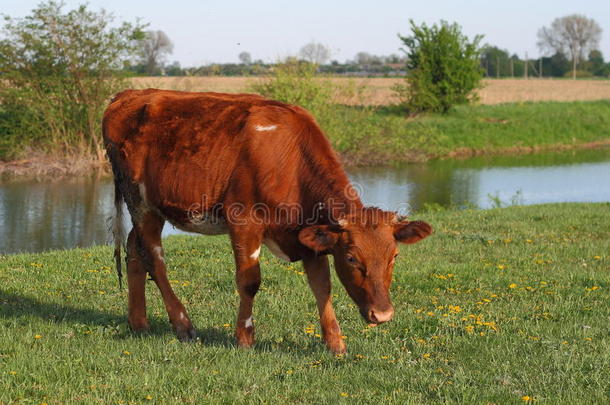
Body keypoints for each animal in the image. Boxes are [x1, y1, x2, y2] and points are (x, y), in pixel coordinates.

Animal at [102, 89, 430, 354]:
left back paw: (138, 322)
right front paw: (245, 338)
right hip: (139, 200)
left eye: (395, 256)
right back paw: (183, 325)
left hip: (150, 207)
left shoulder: (308, 234)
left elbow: (322, 286)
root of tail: (129, 94)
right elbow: (249, 282)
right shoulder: (244, 221)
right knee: (154, 259)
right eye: (351, 258)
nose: (382, 315)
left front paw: (335, 342)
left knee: (134, 250)